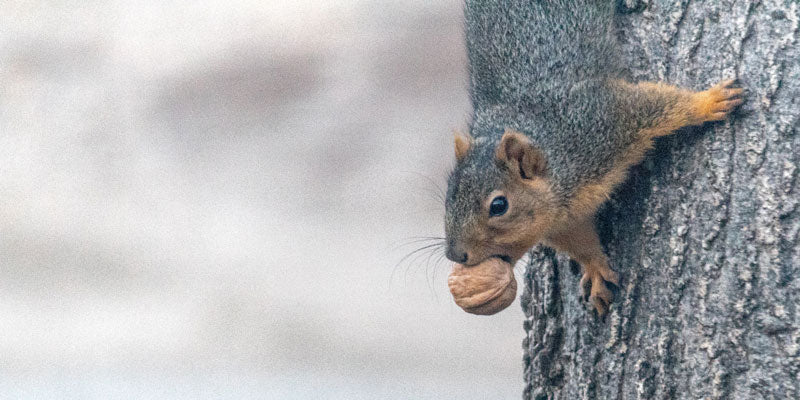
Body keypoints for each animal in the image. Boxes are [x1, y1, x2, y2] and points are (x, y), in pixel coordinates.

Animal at [444, 0, 744, 316]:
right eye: (448, 197)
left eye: (499, 206)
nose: (456, 254)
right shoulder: (565, 222)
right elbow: (581, 242)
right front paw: (596, 269)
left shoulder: (602, 117)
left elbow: (655, 103)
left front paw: (707, 101)